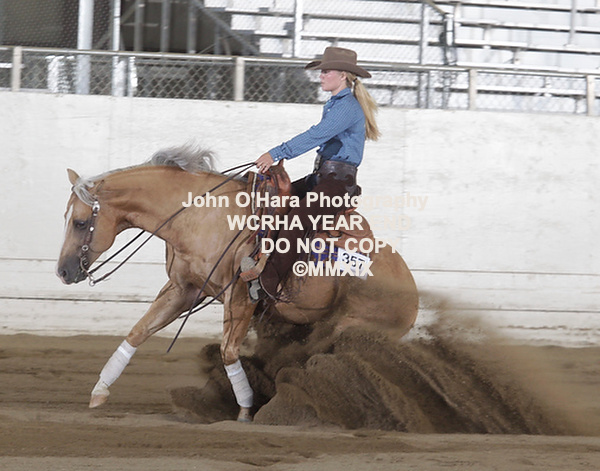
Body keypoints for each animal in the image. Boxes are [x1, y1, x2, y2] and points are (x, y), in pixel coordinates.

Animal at [56, 145, 419, 422]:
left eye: (80, 222)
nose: (63, 271)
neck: (201, 216)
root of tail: (411, 291)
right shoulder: (182, 290)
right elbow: (137, 332)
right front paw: (100, 390)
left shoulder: (242, 297)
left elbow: (228, 352)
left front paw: (245, 410)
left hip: (350, 327)